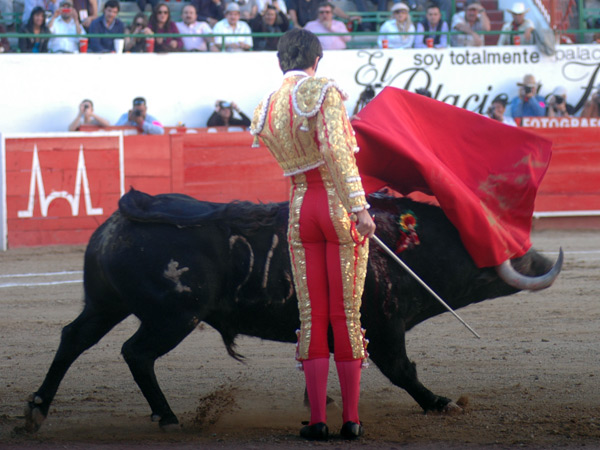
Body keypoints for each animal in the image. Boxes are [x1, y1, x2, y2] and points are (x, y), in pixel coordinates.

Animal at [23, 189, 556, 432]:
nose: (540, 259)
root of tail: (131, 210)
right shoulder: (383, 328)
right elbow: (403, 371)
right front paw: (440, 402)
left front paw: (323, 404)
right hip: (173, 317)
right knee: (136, 354)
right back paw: (168, 416)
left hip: (106, 304)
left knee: (73, 338)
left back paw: (36, 410)